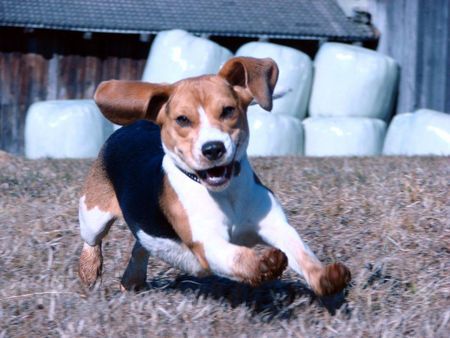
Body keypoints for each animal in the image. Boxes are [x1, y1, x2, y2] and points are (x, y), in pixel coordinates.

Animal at [78, 56, 352, 296]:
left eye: (228, 111)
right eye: (182, 119)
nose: (213, 149)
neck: (225, 192)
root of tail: (133, 125)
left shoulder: (275, 224)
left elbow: (301, 253)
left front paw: (326, 277)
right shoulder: (207, 242)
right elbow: (238, 256)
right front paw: (264, 264)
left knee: (140, 245)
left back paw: (132, 280)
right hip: (93, 214)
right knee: (92, 241)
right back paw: (89, 272)